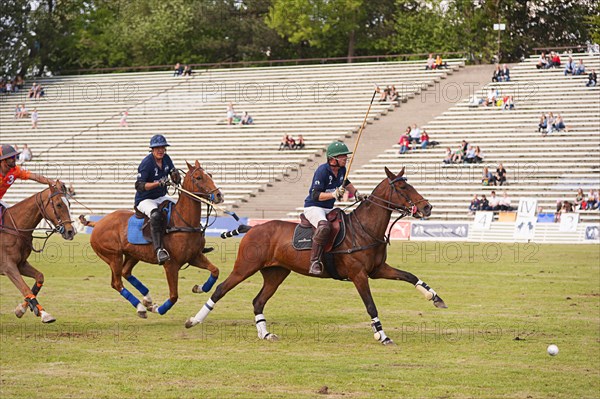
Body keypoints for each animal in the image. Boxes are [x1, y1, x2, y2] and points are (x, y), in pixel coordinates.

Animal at [0, 183, 76, 324]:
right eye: (58, 204)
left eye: (69, 203)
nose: (70, 232)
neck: (15, 229)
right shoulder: (7, 266)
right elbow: (24, 287)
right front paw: (45, 314)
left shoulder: (20, 264)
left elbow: (39, 277)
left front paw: (22, 309)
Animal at [90, 161, 226, 320]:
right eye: (198, 177)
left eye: (210, 175)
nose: (219, 195)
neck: (183, 222)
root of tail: (98, 223)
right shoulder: (171, 265)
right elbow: (173, 296)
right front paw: (157, 309)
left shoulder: (194, 257)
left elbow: (215, 271)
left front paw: (199, 288)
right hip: (113, 256)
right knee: (117, 283)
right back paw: (142, 307)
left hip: (133, 254)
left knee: (125, 272)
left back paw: (147, 300)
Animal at [186, 167, 446, 346]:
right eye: (402, 188)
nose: (427, 207)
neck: (365, 228)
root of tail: (252, 228)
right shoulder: (359, 274)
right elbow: (371, 305)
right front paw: (382, 336)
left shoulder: (377, 270)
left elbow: (410, 276)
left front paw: (435, 297)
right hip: (245, 266)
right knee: (221, 290)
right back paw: (193, 321)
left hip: (276, 272)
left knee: (258, 301)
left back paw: (266, 333)